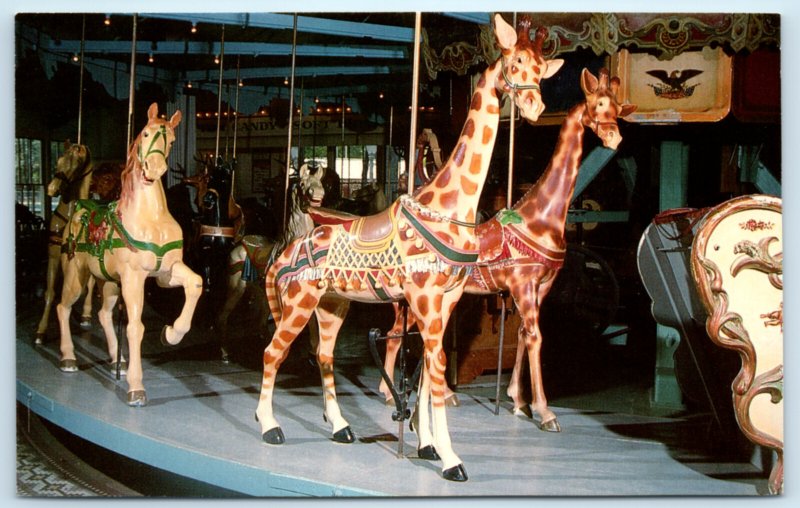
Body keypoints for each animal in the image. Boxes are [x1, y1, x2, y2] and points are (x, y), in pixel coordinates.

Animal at [255, 14, 563, 482]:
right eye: (516, 63)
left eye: (541, 69)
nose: (535, 107)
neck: (449, 207)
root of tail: (287, 251)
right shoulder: (424, 300)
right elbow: (435, 373)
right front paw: (451, 459)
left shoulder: (446, 301)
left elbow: (423, 373)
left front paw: (428, 446)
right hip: (298, 302)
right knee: (273, 353)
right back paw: (269, 426)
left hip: (332, 305)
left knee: (324, 356)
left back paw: (340, 426)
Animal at [380, 68, 637, 431]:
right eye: (598, 104)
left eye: (617, 108)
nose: (614, 138)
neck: (539, 217)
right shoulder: (523, 285)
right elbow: (535, 337)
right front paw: (545, 412)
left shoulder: (540, 287)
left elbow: (523, 337)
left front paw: (517, 400)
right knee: (396, 335)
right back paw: (393, 396)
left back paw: (440, 395)